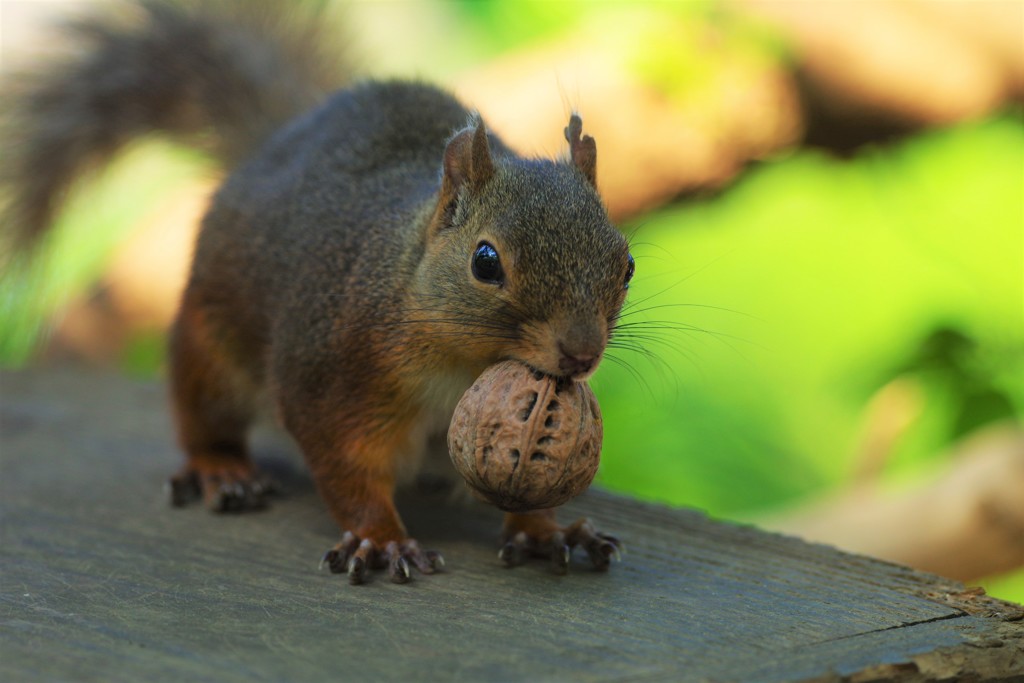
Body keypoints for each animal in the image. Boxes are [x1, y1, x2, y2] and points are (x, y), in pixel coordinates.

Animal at [2, 2, 630, 585]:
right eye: (485, 262)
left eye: (625, 264)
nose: (581, 353)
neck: (463, 365)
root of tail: (271, 145)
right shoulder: (331, 374)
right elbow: (345, 468)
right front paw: (381, 539)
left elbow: (528, 487)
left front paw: (545, 531)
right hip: (210, 351)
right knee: (203, 417)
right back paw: (221, 469)